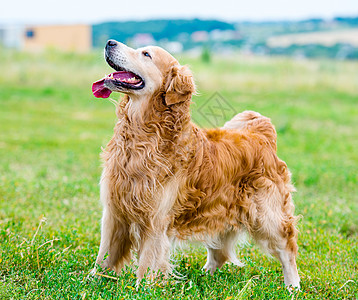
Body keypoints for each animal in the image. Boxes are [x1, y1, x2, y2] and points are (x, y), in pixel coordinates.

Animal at [91, 39, 300, 288]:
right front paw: (89, 280)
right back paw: (204, 276)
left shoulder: (156, 219)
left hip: (267, 215)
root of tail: (261, 133)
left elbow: (147, 261)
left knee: (287, 247)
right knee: (219, 253)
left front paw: (143, 289)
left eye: (146, 54)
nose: (109, 42)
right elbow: (104, 255)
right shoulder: (114, 211)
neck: (143, 135)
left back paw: (293, 286)